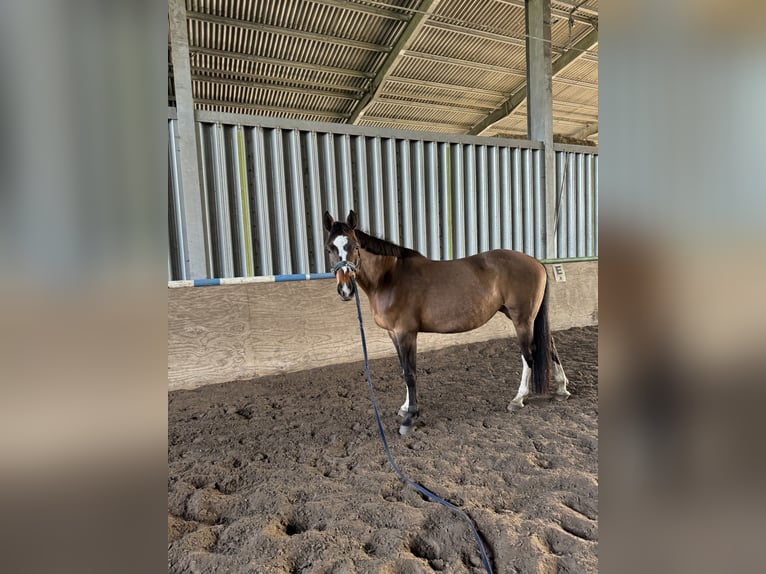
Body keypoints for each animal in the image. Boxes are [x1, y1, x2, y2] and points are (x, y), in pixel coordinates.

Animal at [322, 212, 568, 436]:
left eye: (354, 246)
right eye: (329, 248)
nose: (345, 290)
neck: (389, 278)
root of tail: (536, 262)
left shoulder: (406, 333)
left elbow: (410, 373)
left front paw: (410, 418)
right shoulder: (393, 334)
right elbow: (403, 369)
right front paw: (405, 407)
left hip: (522, 319)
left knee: (529, 354)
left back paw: (519, 398)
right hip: (526, 317)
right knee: (550, 346)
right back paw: (562, 388)